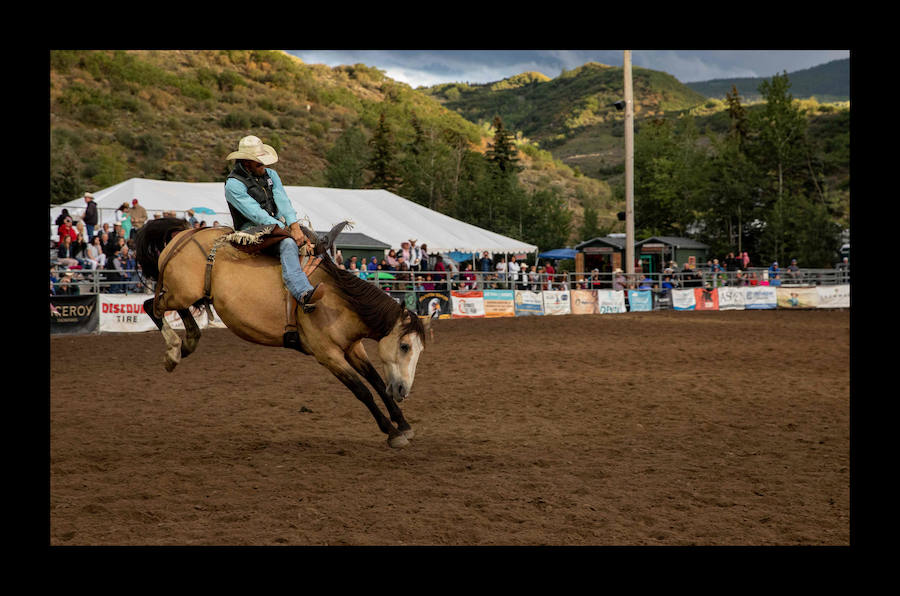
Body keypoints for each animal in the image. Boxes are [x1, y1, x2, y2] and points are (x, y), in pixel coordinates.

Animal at [134, 218, 428, 448]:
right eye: (404, 346)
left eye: (419, 350)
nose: (403, 390)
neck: (337, 299)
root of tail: (184, 234)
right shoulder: (327, 355)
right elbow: (362, 390)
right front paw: (391, 432)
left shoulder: (353, 347)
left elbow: (376, 381)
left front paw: (404, 425)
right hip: (178, 291)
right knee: (151, 306)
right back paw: (173, 351)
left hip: (188, 293)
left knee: (175, 311)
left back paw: (188, 343)